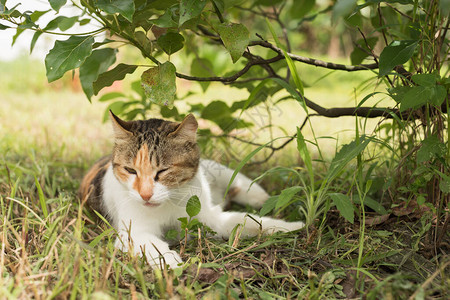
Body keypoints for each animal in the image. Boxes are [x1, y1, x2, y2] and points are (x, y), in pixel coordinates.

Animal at [79, 110, 304, 270]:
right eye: (130, 170)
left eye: (163, 171)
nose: (145, 194)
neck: (169, 202)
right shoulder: (132, 232)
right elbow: (152, 245)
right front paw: (170, 262)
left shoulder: (209, 218)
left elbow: (247, 221)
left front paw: (291, 226)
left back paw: (261, 196)